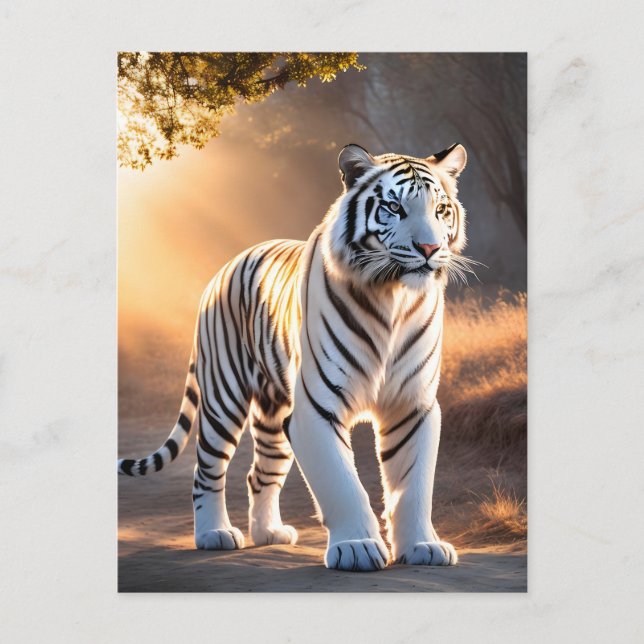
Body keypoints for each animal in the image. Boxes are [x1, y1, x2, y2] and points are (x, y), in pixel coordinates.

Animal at [118, 142, 472, 571]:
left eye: (441, 210)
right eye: (394, 207)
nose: (430, 248)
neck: (393, 297)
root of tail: (225, 267)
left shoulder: (413, 405)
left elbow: (413, 485)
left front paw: (423, 546)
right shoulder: (318, 408)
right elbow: (341, 481)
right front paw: (356, 546)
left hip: (274, 413)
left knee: (259, 474)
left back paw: (269, 532)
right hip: (223, 398)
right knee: (207, 469)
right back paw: (214, 534)